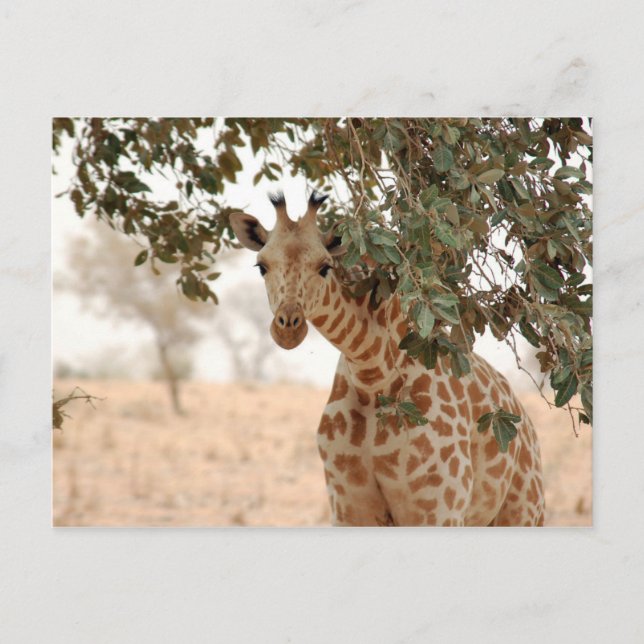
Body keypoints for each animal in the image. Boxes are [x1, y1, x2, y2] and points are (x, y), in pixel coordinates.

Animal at [229, 192, 545, 527]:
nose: (288, 327)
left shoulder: (440, 509)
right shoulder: (348, 507)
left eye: (325, 266)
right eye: (261, 266)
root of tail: (527, 425)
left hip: (524, 511)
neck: (373, 375)